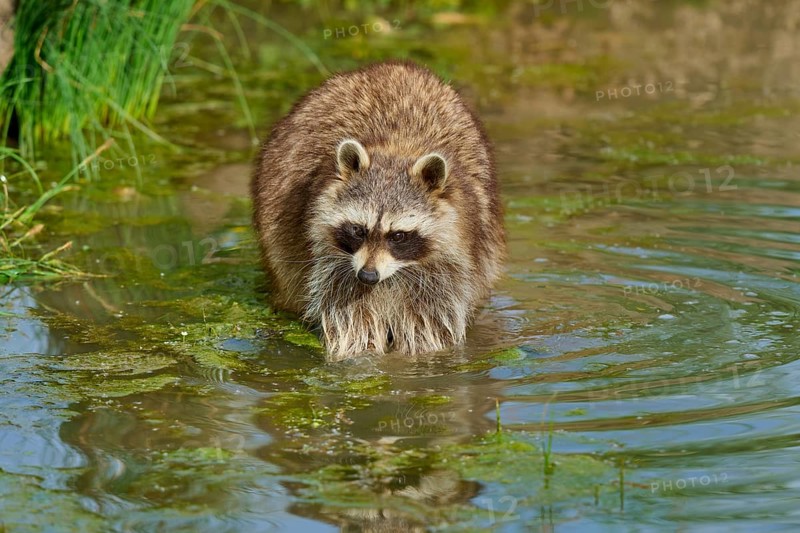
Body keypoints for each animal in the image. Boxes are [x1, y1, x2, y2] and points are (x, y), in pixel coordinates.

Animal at [251, 60, 504, 360]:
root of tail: (388, 66)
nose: (368, 276)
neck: (397, 147)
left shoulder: (449, 264)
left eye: (398, 235)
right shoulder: (331, 262)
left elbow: (429, 321)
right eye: (358, 230)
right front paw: (361, 354)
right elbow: (350, 319)